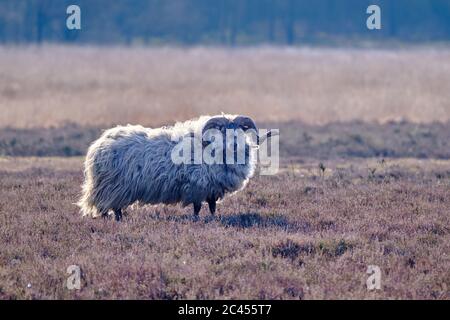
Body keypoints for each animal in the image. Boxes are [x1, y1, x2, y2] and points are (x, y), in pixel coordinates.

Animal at [77, 114, 274, 221]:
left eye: (241, 130)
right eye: (223, 130)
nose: (234, 143)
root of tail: (99, 144)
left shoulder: (211, 189)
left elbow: (211, 207)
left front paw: (212, 219)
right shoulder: (198, 186)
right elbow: (197, 208)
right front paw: (197, 220)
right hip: (113, 186)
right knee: (113, 207)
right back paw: (118, 221)